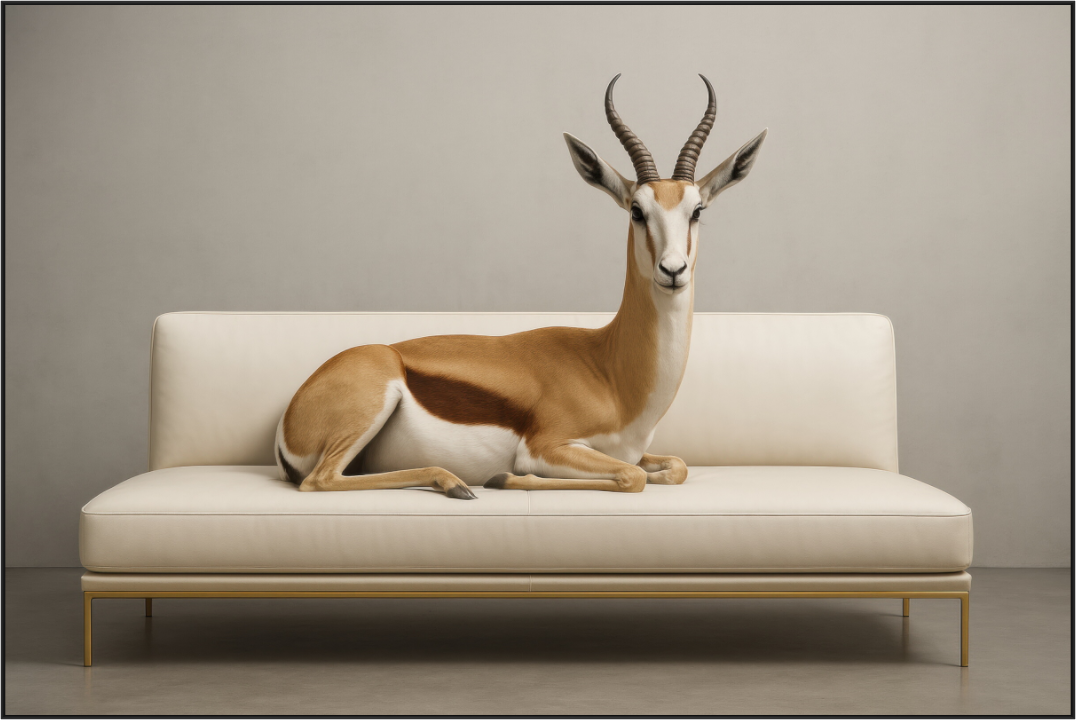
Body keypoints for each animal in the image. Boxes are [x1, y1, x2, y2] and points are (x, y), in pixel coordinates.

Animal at [276, 74, 767, 499]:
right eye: (636, 210)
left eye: (697, 210)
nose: (673, 270)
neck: (610, 371)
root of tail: (287, 422)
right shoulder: (547, 447)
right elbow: (631, 477)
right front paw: (504, 478)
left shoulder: (633, 451)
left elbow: (675, 467)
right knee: (319, 481)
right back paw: (456, 483)